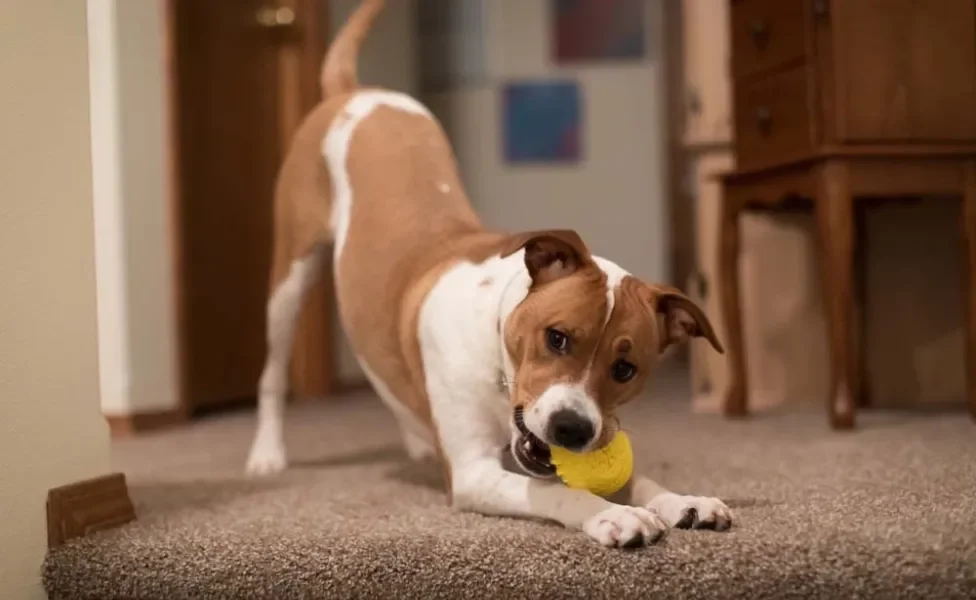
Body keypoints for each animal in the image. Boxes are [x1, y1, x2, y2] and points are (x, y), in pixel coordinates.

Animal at [246, 0, 732, 548]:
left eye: (625, 369)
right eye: (557, 337)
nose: (571, 429)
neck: (496, 349)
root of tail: (355, 92)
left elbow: (639, 478)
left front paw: (682, 500)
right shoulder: (475, 472)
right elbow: (555, 491)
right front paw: (613, 514)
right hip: (290, 277)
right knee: (272, 373)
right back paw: (267, 455)